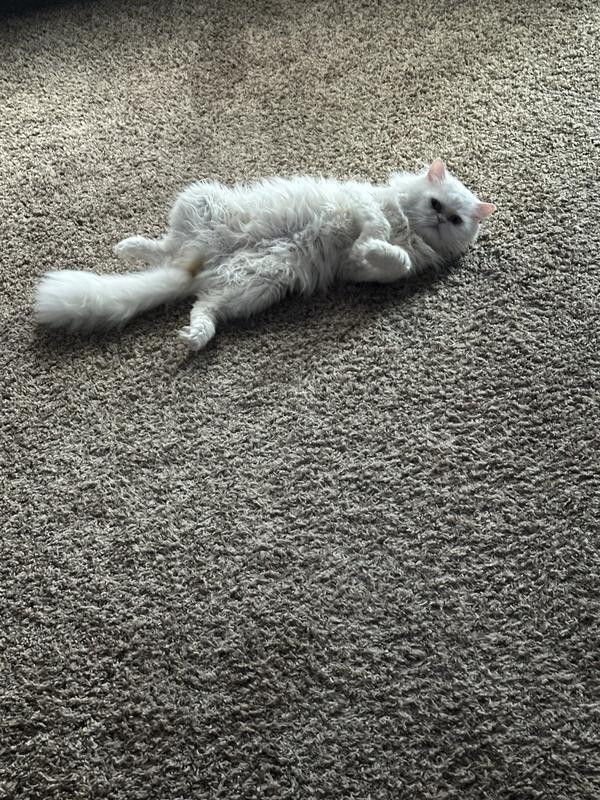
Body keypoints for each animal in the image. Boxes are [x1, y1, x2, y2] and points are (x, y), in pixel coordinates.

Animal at [34, 159, 496, 350]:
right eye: (436, 204)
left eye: (456, 219)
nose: (440, 218)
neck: (409, 229)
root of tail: (201, 267)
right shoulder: (363, 204)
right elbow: (377, 229)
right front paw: (378, 238)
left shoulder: (360, 267)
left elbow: (391, 262)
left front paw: (383, 251)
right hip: (199, 205)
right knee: (164, 249)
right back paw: (128, 246)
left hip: (255, 287)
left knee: (202, 305)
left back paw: (195, 338)